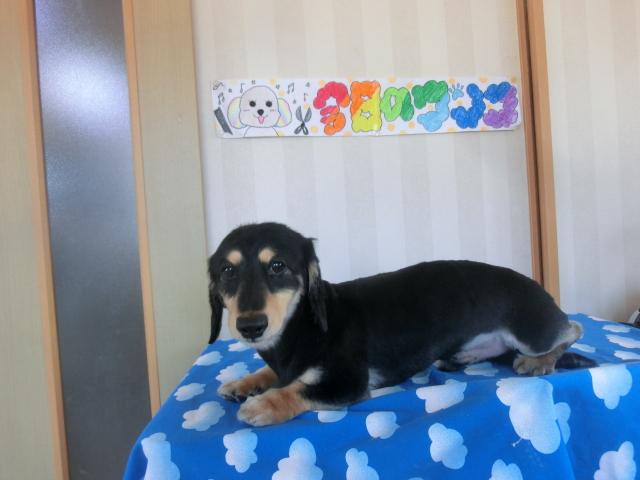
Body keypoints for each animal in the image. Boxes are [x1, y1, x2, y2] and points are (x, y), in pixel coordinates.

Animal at [207, 222, 585, 426]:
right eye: (227, 271)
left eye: (278, 266)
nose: (250, 326)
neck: (301, 329)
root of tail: (537, 287)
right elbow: (274, 374)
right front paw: (244, 383)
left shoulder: (346, 382)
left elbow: (296, 389)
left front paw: (264, 403)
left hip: (533, 332)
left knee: (572, 331)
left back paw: (539, 362)